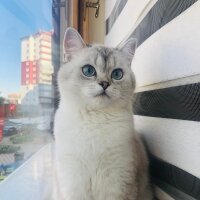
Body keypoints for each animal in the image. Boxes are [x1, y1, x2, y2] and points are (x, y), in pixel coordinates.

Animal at [52, 27, 152, 200]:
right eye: (88, 71)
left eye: (117, 74)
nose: (104, 84)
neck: (95, 118)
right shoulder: (73, 181)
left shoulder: (117, 182)